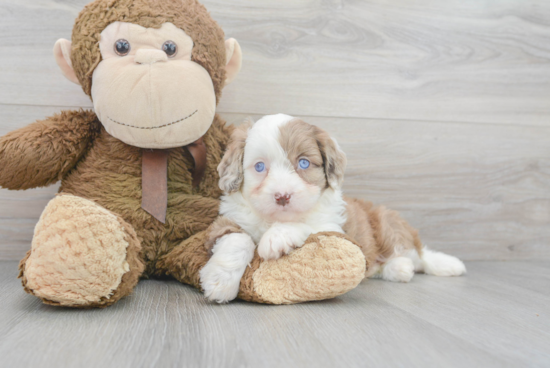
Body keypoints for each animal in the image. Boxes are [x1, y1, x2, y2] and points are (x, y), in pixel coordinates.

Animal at [198, 114, 466, 302]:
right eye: (260, 167)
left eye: (303, 163)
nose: (282, 196)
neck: (272, 219)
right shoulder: (224, 222)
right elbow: (237, 239)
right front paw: (219, 282)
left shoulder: (335, 229)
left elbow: (306, 225)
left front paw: (276, 237)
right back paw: (399, 269)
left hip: (388, 226)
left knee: (420, 255)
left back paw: (443, 264)